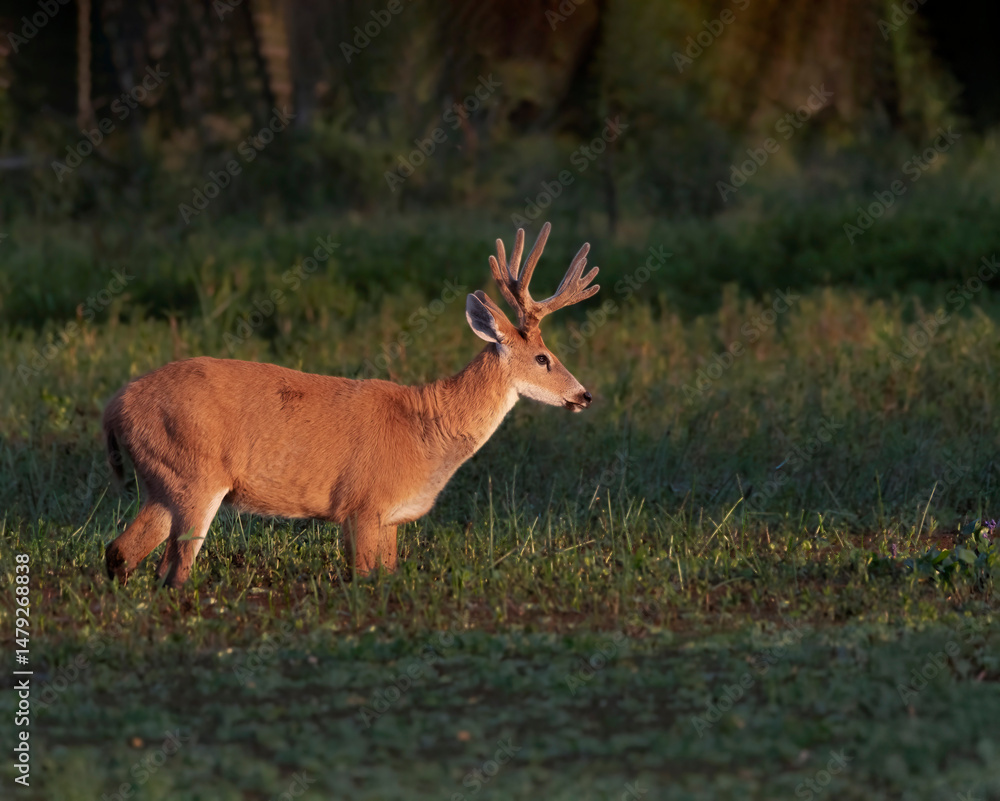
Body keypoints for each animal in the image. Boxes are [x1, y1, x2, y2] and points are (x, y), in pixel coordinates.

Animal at [102, 221, 599, 588]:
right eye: (543, 357)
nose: (584, 395)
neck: (428, 428)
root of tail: (113, 406)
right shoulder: (363, 504)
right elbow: (362, 580)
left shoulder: (391, 518)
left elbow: (389, 574)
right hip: (196, 475)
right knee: (174, 569)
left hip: (162, 481)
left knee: (122, 552)